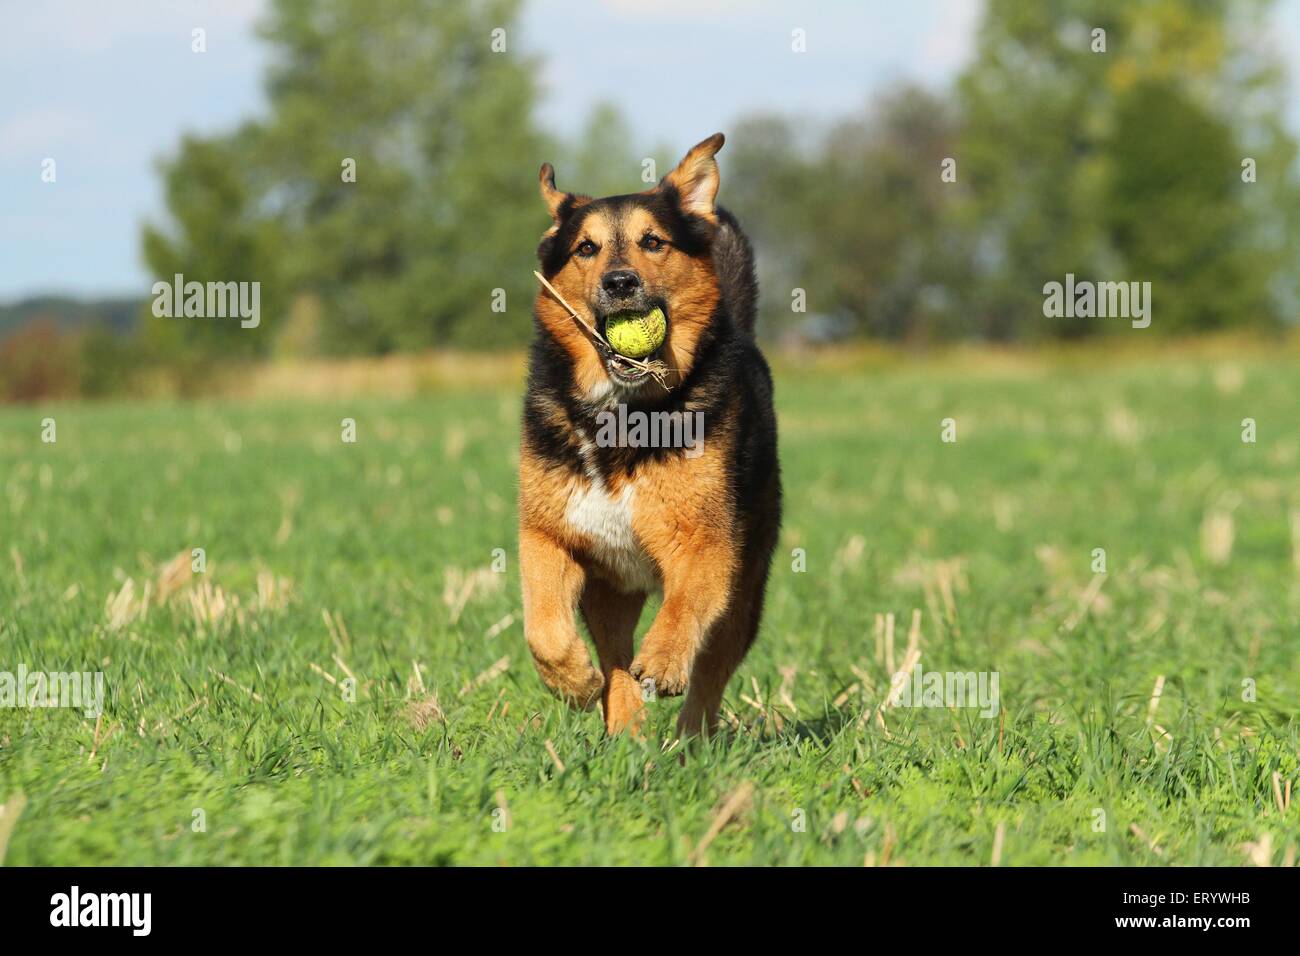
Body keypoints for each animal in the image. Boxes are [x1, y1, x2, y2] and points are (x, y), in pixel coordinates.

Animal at [517, 130, 780, 738]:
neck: (621, 411)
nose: (620, 282)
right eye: (586, 248)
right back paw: (625, 732)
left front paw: (662, 660)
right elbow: (542, 626)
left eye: (652, 242)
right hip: (611, 590)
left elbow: (684, 606)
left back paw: (688, 742)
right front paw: (572, 682)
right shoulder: (545, 533)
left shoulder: (705, 540)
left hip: (746, 587)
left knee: (712, 669)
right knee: (614, 656)